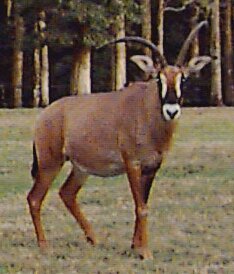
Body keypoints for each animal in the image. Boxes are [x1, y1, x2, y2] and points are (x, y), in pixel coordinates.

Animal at [28, 21, 211, 260]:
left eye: (184, 78)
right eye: (158, 78)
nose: (171, 111)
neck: (146, 111)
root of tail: (44, 115)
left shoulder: (152, 167)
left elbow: (143, 203)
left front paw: (135, 245)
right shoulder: (132, 163)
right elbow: (141, 206)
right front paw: (145, 251)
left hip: (80, 169)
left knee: (67, 193)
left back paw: (93, 238)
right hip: (50, 163)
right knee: (35, 198)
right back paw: (44, 245)